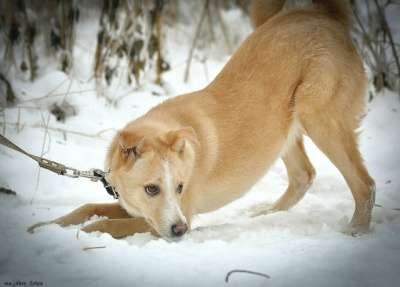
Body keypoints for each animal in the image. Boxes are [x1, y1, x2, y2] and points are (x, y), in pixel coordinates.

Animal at [28, 0, 376, 240]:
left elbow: (100, 223)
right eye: (152, 189)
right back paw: (265, 214)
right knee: (304, 174)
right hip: (281, 127)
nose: (180, 231)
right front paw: (43, 226)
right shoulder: (137, 207)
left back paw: (356, 230)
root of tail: (323, 15)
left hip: (317, 117)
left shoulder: (160, 220)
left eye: (181, 187)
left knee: (365, 185)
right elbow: (87, 208)